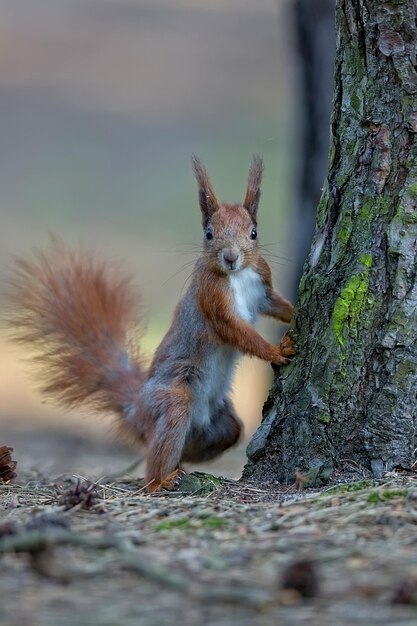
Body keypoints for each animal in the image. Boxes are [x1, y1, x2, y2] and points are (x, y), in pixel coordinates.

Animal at [8, 154, 292, 490]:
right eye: (209, 233)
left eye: (253, 232)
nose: (231, 257)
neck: (239, 276)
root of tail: (136, 409)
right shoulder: (213, 301)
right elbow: (237, 332)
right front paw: (277, 352)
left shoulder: (263, 287)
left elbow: (276, 304)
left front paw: (294, 314)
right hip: (172, 401)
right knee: (155, 454)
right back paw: (161, 480)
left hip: (221, 425)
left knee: (206, 436)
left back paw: (181, 465)